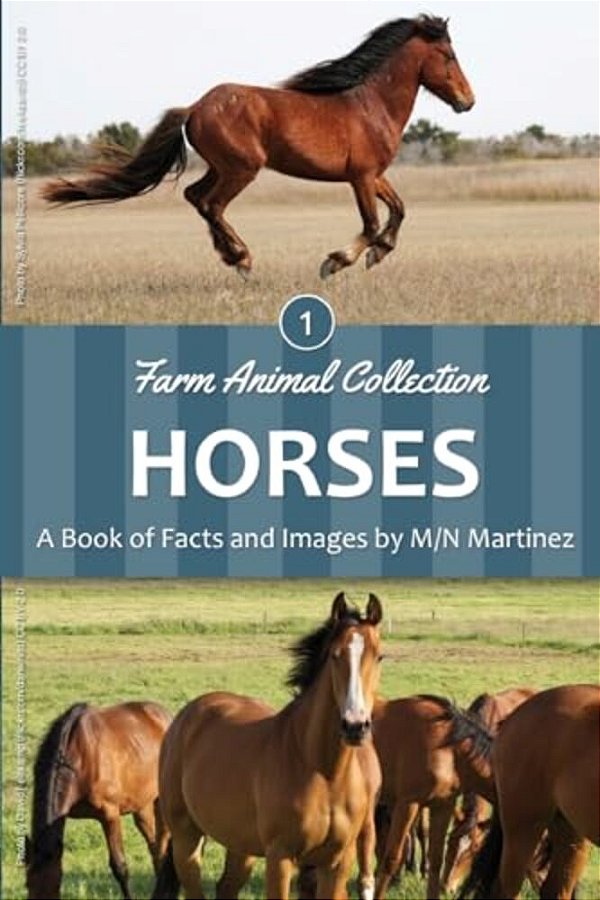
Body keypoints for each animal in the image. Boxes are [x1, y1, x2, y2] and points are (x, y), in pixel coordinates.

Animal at [25, 701, 172, 900]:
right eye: (27, 884)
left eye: (55, 883)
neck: (78, 757)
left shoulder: (109, 815)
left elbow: (120, 866)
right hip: (141, 805)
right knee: (154, 846)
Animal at [42, 15, 475, 279]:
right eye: (449, 55)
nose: (468, 101)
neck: (370, 105)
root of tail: (195, 107)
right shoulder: (361, 177)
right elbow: (370, 222)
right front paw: (336, 262)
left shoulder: (374, 176)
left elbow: (399, 209)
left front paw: (378, 253)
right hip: (241, 169)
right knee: (211, 204)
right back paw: (242, 258)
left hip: (222, 166)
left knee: (195, 197)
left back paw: (233, 254)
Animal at [152, 592, 383, 900]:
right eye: (335, 655)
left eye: (379, 656)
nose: (355, 726)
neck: (323, 772)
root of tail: (184, 718)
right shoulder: (280, 857)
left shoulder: (336, 862)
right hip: (185, 838)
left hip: (239, 845)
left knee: (226, 887)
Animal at [370, 694, 494, 900]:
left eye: (475, 848)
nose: (449, 889)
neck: (449, 748)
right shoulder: (408, 804)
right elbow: (391, 859)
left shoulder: (443, 805)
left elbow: (435, 860)